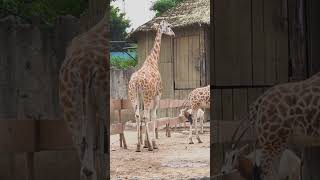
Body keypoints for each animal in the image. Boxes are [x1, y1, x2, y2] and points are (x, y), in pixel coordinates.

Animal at [127, 19, 174, 152]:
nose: (173, 34)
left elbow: (145, 115)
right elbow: (153, 116)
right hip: (147, 97)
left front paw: (145, 143)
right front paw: (152, 143)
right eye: (168, 26)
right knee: (146, 116)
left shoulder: (143, 97)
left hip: (134, 96)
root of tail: (136, 82)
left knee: (138, 115)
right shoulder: (158, 95)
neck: (153, 61)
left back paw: (138, 146)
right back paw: (151, 146)